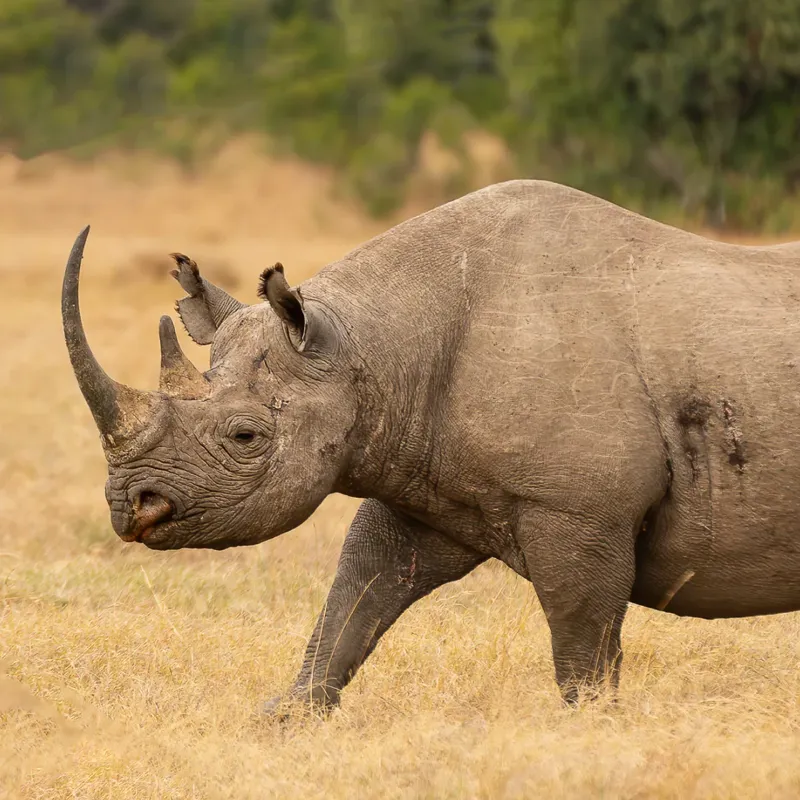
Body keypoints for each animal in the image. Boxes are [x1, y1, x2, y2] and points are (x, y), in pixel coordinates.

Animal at [62, 180, 800, 708]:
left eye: (245, 436)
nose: (130, 506)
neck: (372, 346)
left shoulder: (579, 509)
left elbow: (581, 643)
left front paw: (595, 724)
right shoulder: (416, 477)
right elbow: (355, 594)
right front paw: (286, 714)